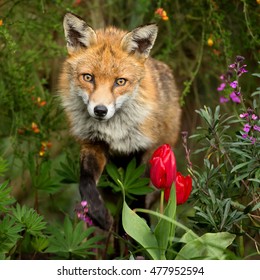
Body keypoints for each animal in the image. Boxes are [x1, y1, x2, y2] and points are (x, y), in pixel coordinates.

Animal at [59, 12, 181, 230]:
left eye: (120, 81)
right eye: (88, 77)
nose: (100, 110)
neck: (114, 130)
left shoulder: (143, 150)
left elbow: (135, 199)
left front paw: (134, 228)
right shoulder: (94, 144)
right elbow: (85, 182)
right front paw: (98, 213)